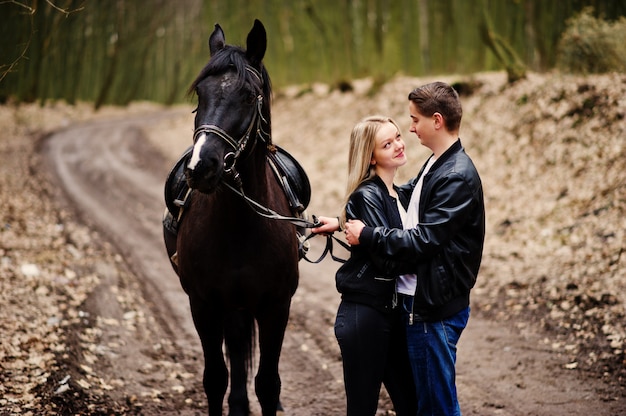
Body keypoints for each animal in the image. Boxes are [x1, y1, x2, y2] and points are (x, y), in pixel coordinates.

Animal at [166, 20, 300, 416]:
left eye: (247, 96)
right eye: (200, 95)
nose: (200, 168)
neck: (240, 225)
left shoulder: (276, 305)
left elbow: (268, 384)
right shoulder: (203, 304)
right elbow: (216, 379)